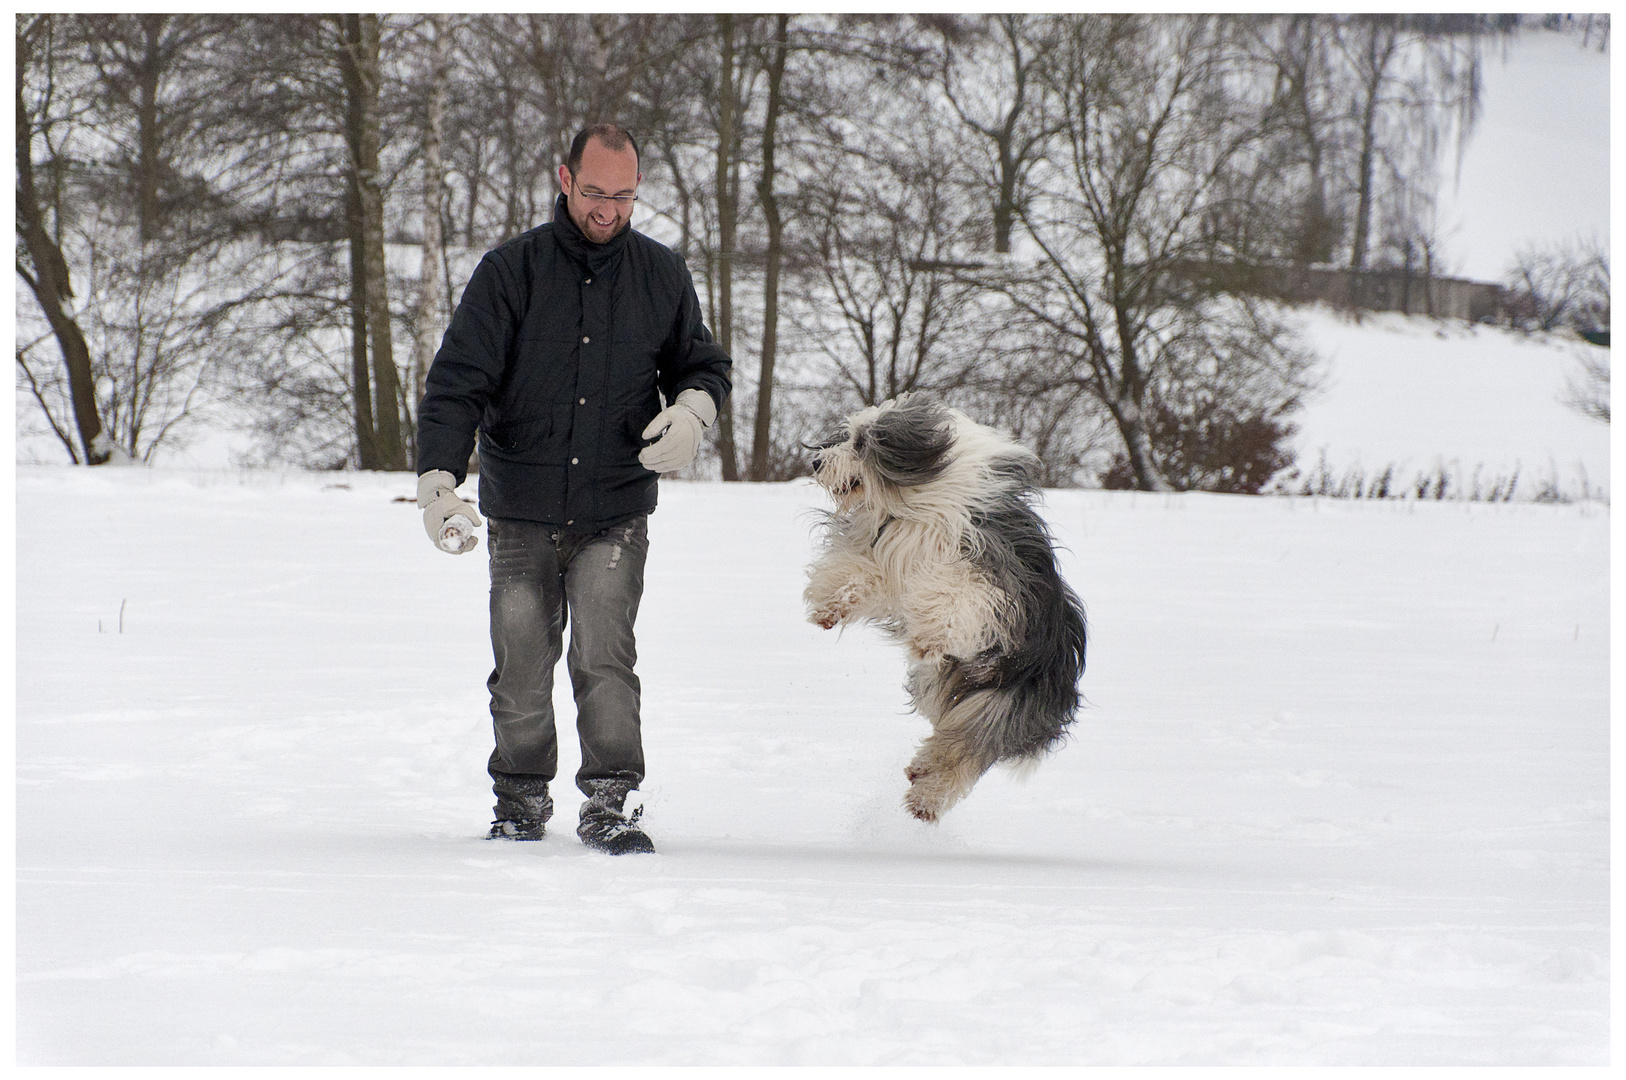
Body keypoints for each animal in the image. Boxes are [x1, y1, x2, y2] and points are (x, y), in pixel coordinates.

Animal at [803, 391, 1086, 823]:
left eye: (861, 443)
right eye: (847, 436)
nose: (817, 463)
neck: (919, 500)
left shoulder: (989, 574)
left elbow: (955, 596)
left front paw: (930, 639)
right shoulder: (889, 554)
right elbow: (862, 574)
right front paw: (831, 603)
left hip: (1001, 703)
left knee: (964, 751)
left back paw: (926, 799)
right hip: (949, 689)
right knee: (947, 735)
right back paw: (919, 769)